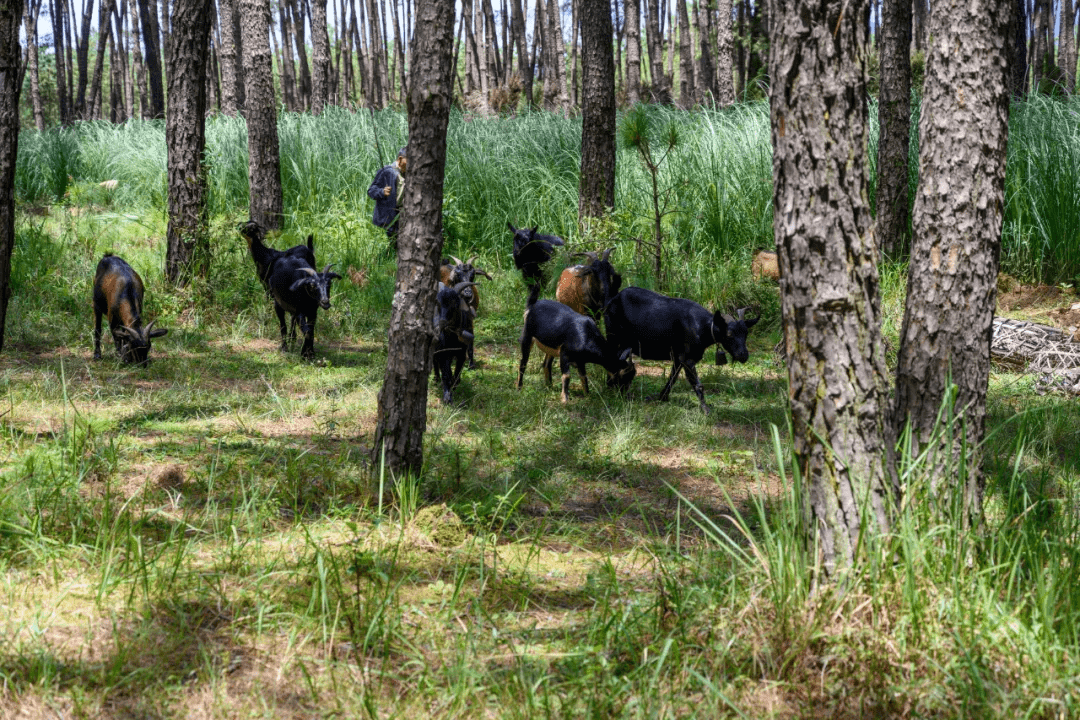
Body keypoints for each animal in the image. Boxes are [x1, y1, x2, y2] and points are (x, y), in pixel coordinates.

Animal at [600, 284, 760, 410]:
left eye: (746, 333)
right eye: (729, 334)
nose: (743, 355)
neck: (701, 326)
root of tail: (612, 301)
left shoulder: (678, 357)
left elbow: (673, 378)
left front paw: (661, 397)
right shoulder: (687, 357)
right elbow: (697, 384)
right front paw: (706, 409)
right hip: (614, 336)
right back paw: (614, 389)